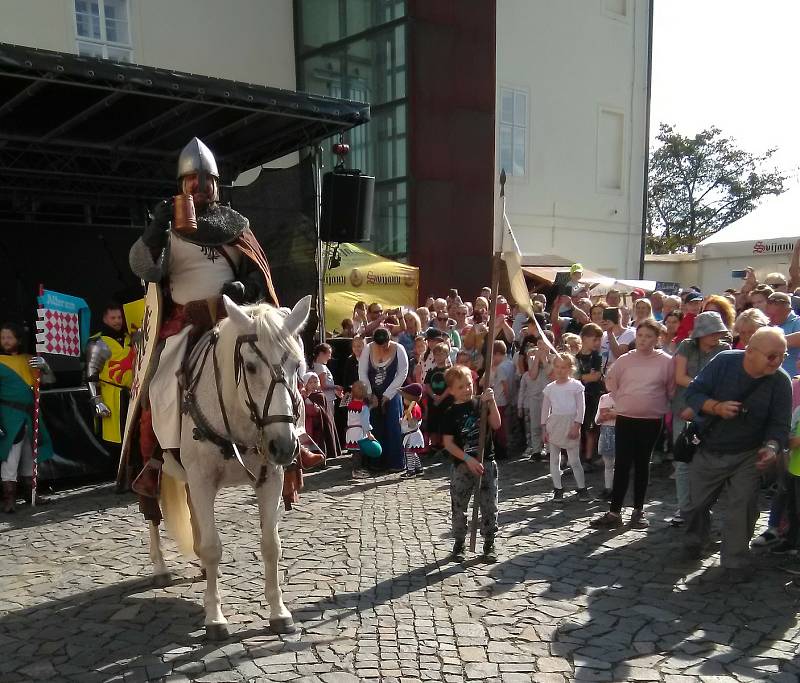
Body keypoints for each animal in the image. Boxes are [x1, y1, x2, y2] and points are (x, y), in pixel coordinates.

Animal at [147, 294, 310, 640]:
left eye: (296, 364)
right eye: (250, 366)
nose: (284, 445)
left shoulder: (270, 480)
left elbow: (271, 545)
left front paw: (279, 613)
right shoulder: (202, 479)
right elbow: (213, 547)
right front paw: (215, 618)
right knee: (151, 511)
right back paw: (160, 566)